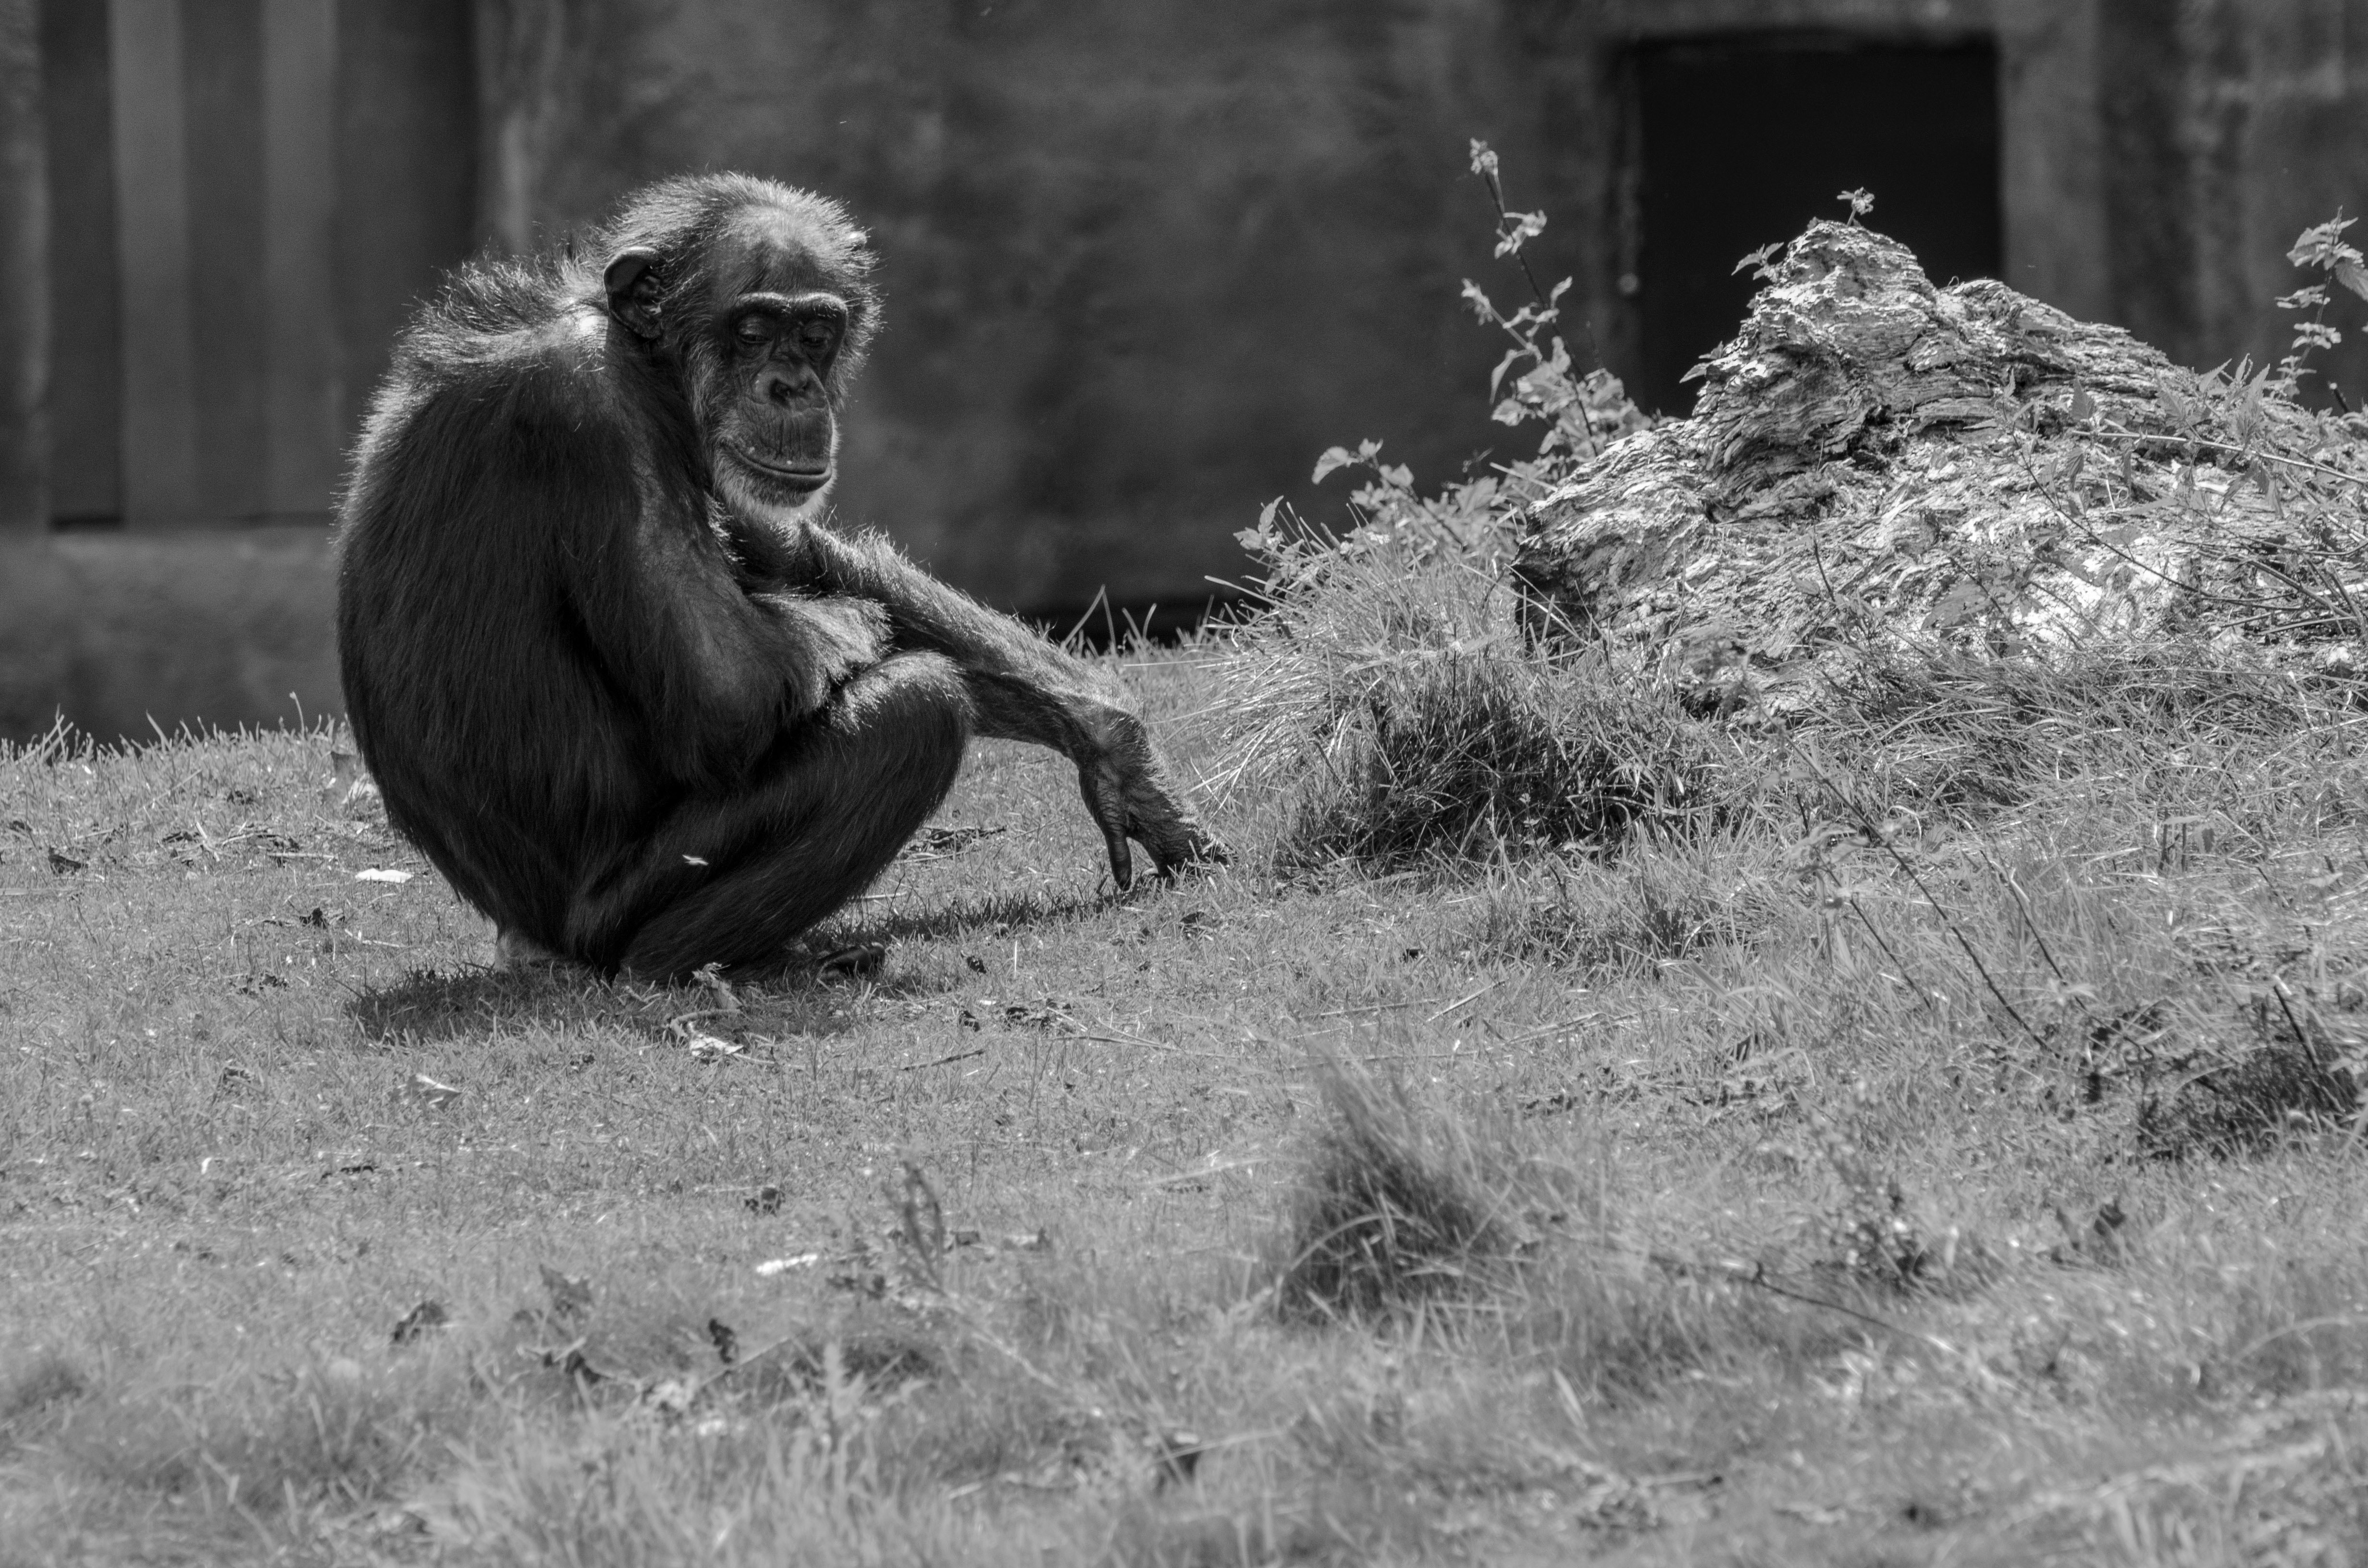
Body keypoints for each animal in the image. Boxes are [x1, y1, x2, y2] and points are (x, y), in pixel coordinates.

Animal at [333, 172, 1221, 985]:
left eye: (818, 331)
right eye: (755, 327)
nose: (791, 385)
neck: (645, 361)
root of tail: (524, 938)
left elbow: (786, 547)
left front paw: (1113, 743)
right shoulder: (591, 413)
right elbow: (728, 687)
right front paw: (847, 628)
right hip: (614, 905)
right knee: (916, 707)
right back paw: (704, 960)